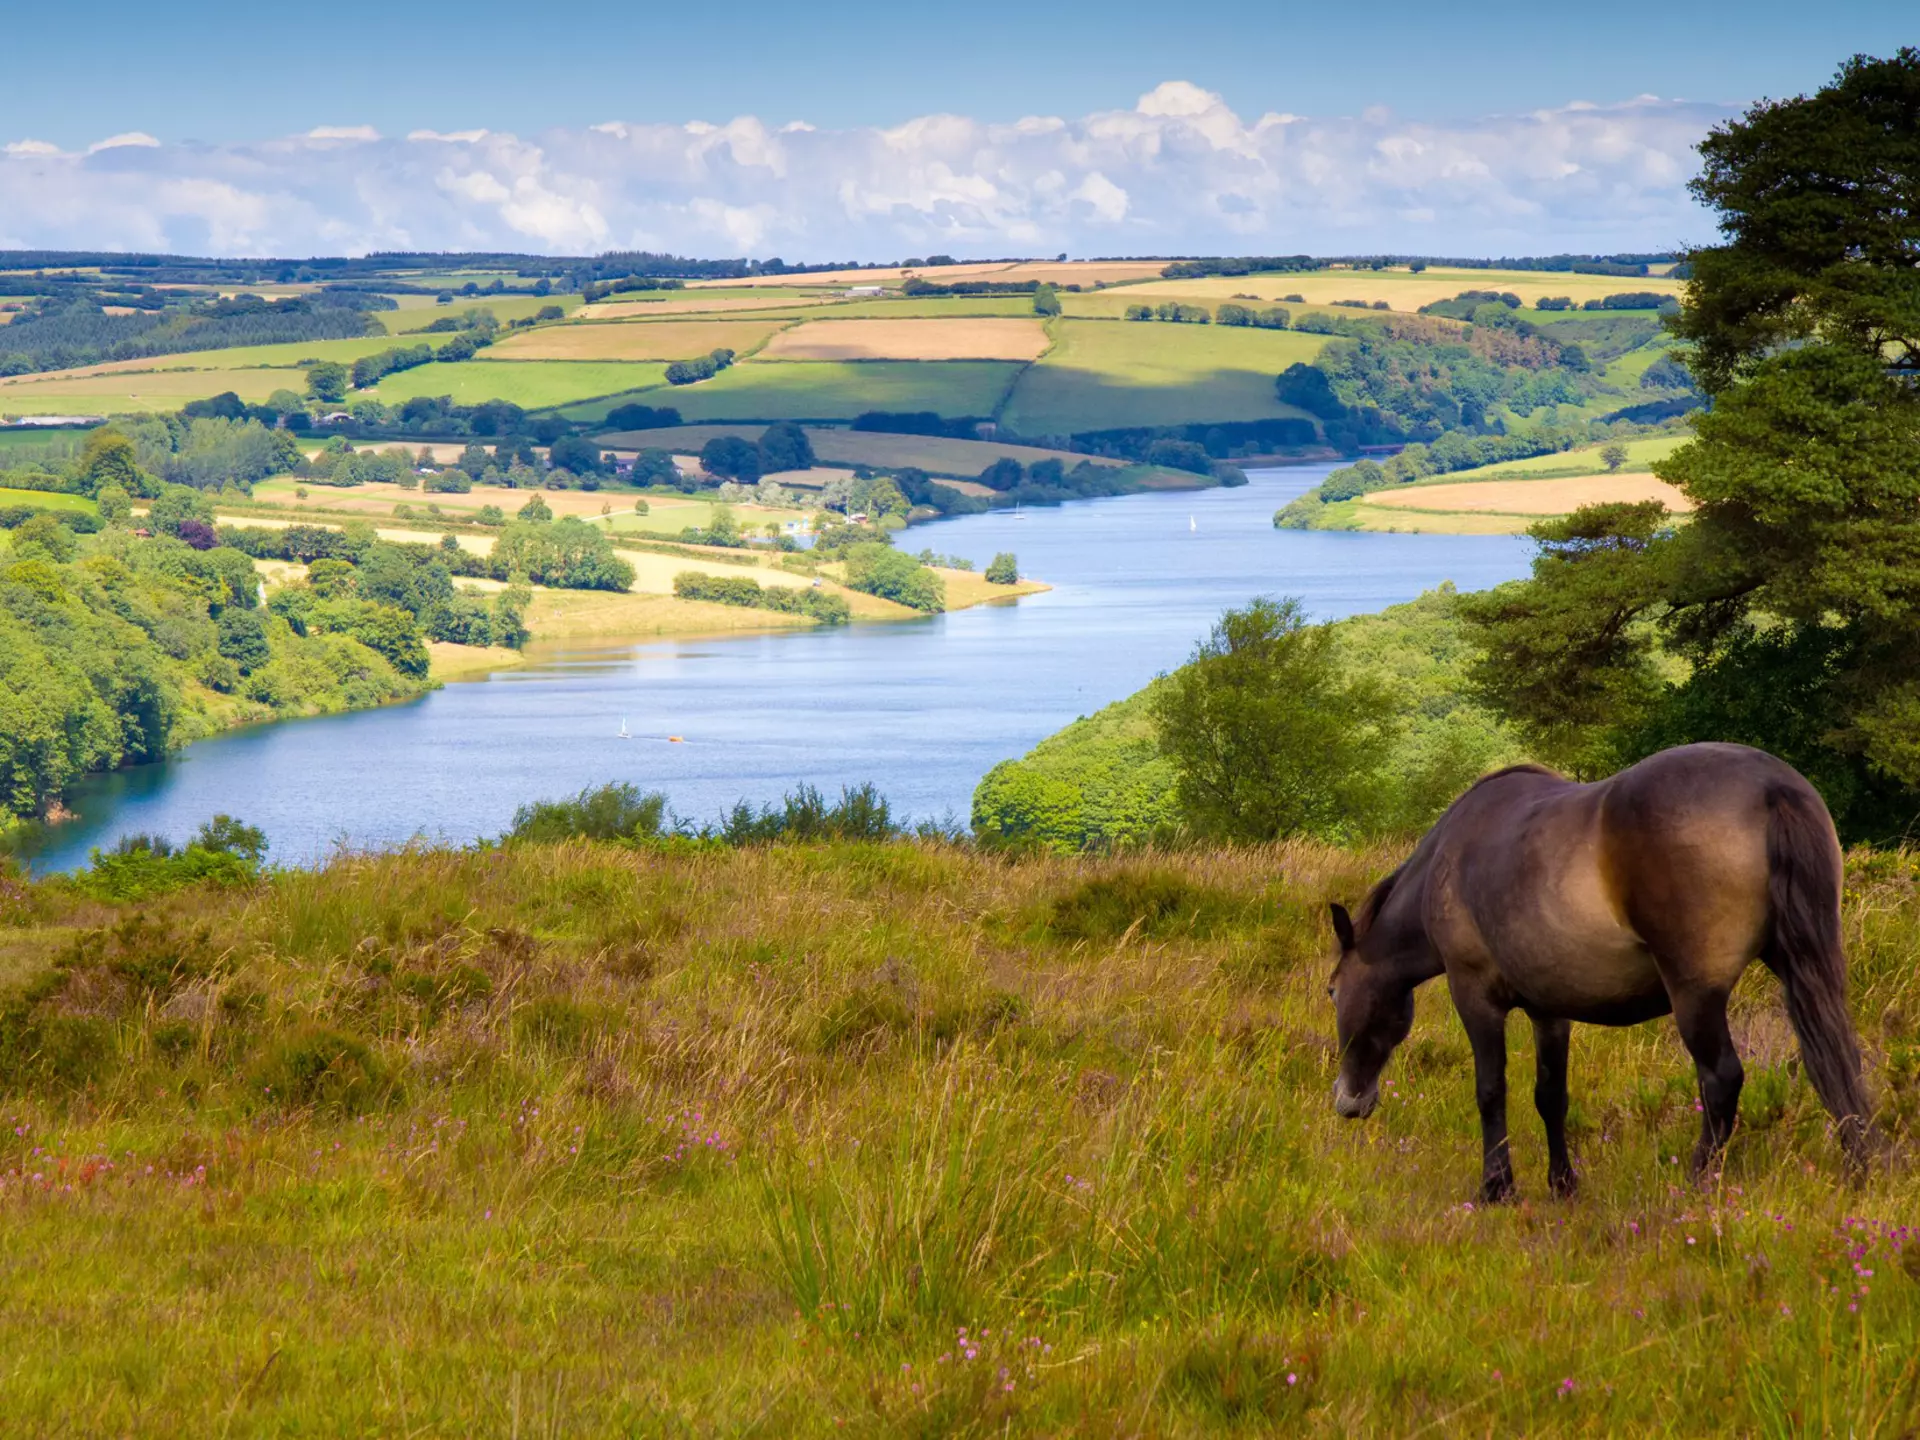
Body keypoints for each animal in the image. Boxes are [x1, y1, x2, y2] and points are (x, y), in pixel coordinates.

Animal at [1326, 742, 1873, 1201]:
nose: (1349, 1101)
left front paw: (1496, 1188)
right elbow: (1551, 1096)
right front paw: (1562, 1184)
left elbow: (1490, 1091)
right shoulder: (1549, 1010)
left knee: (1721, 1080)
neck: (1450, 858)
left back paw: (1696, 1183)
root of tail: (1770, 786)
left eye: (1332, 991)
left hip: (1696, 995)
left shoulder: (1475, 996)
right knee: (1837, 1061)